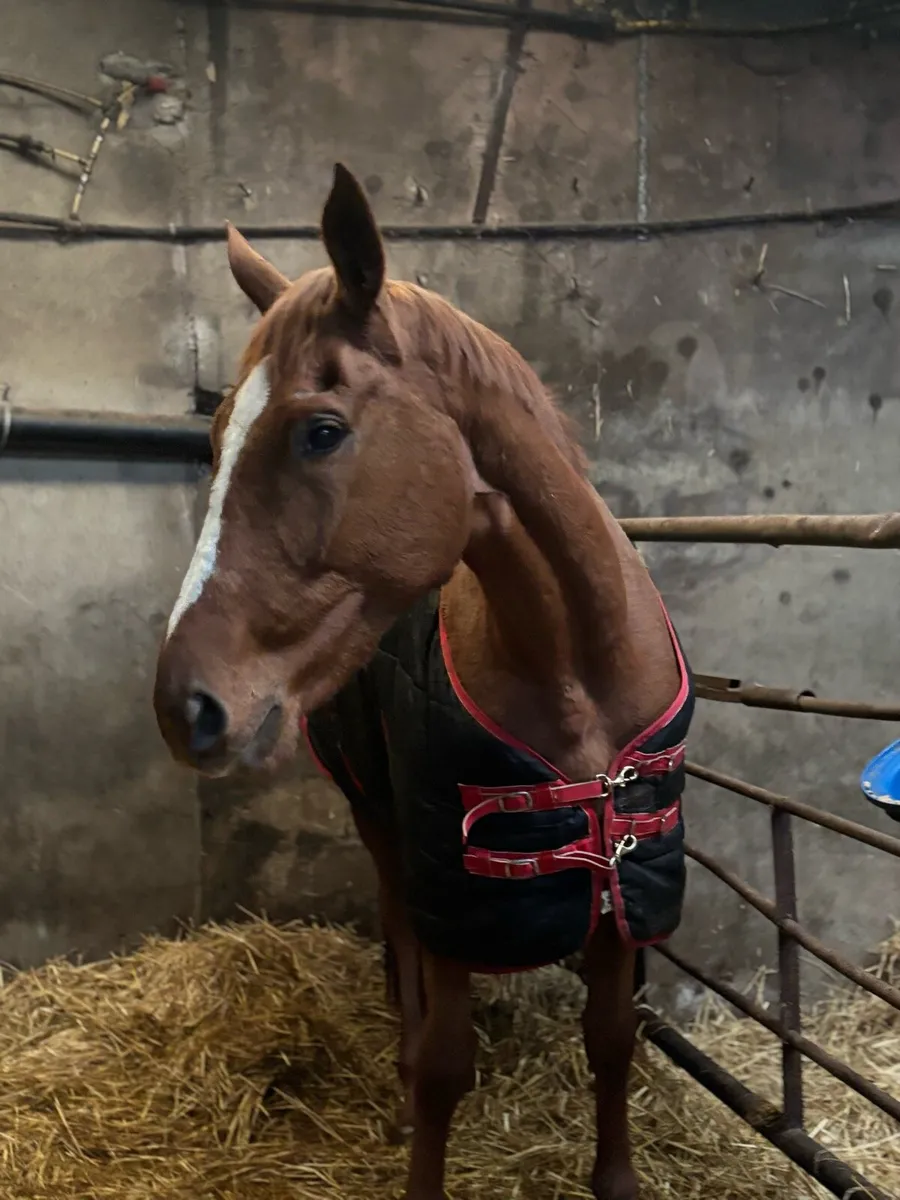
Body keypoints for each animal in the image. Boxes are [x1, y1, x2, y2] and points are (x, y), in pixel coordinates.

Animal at [153, 163, 694, 1200]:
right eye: (214, 435)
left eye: (321, 431)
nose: (182, 707)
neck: (576, 670)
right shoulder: (453, 876)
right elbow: (444, 1065)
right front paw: (419, 1112)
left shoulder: (621, 875)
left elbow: (612, 1040)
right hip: (382, 814)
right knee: (397, 924)